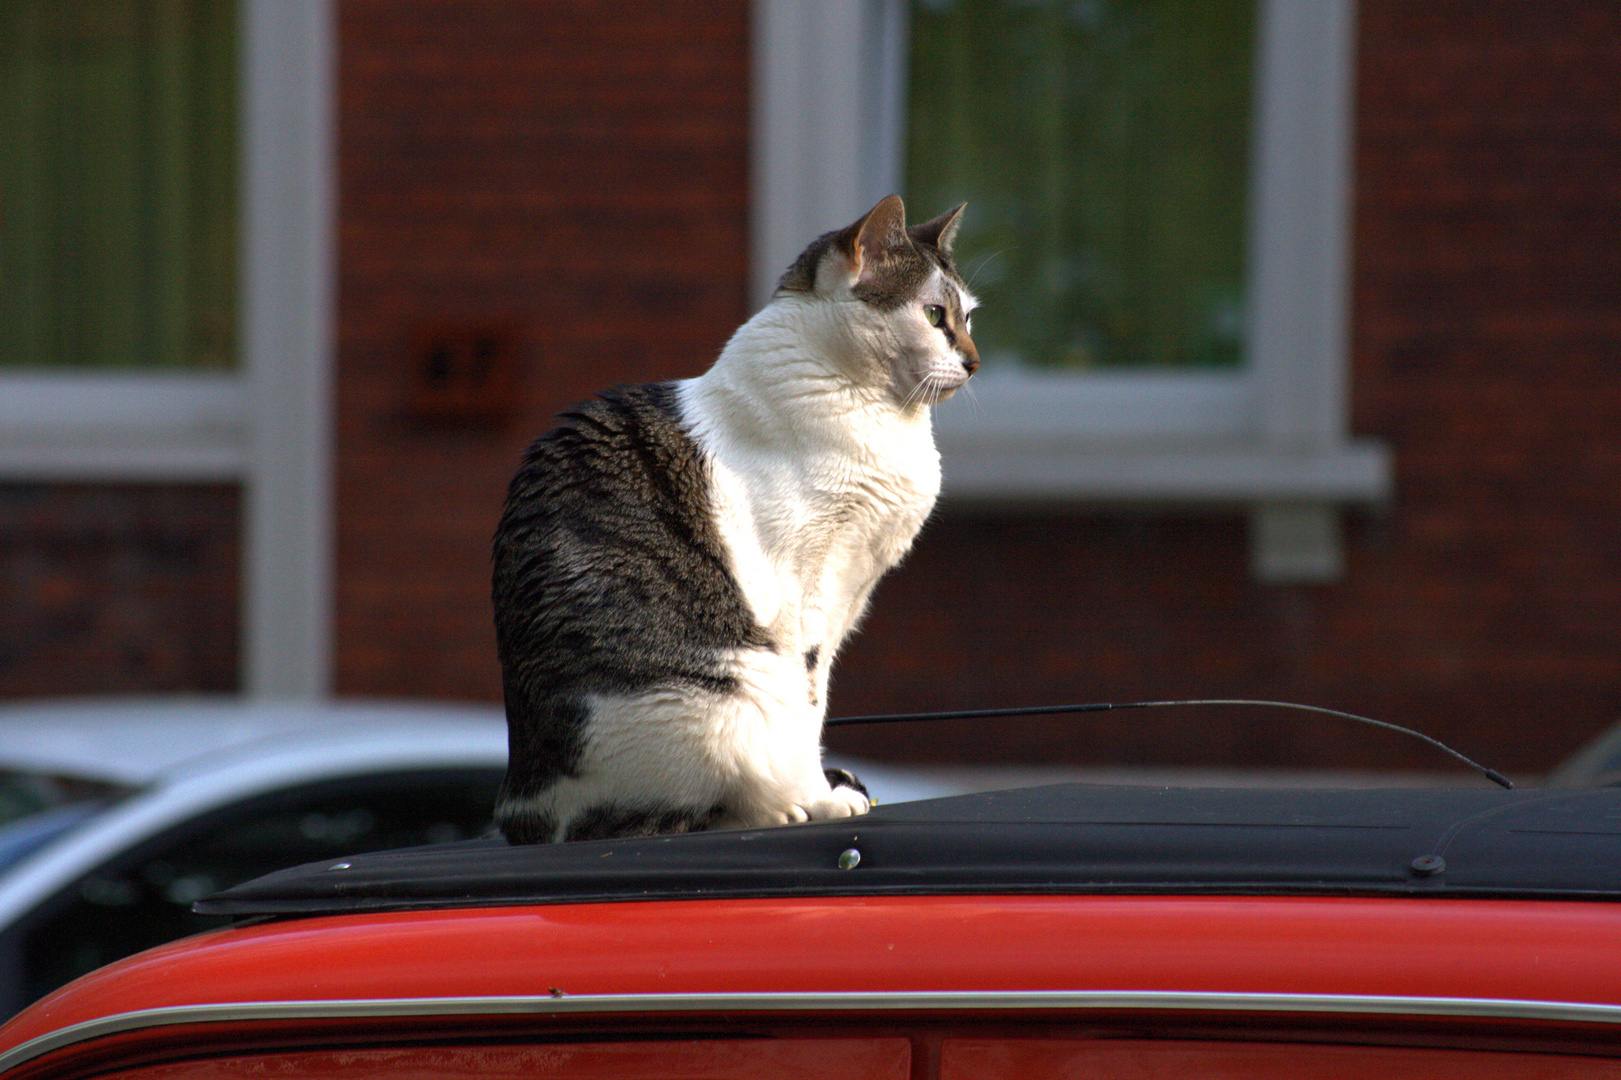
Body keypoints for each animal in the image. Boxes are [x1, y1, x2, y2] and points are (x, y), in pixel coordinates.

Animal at [492, 195, 972, 843]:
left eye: (969, 318)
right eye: (934, 314)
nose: (974, 362)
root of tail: (524, 806)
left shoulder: (843, 600)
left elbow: (818, 703)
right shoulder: (802, 599)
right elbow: (807, 710)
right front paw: (820, 799)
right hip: (725, 692)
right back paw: (783, 806)